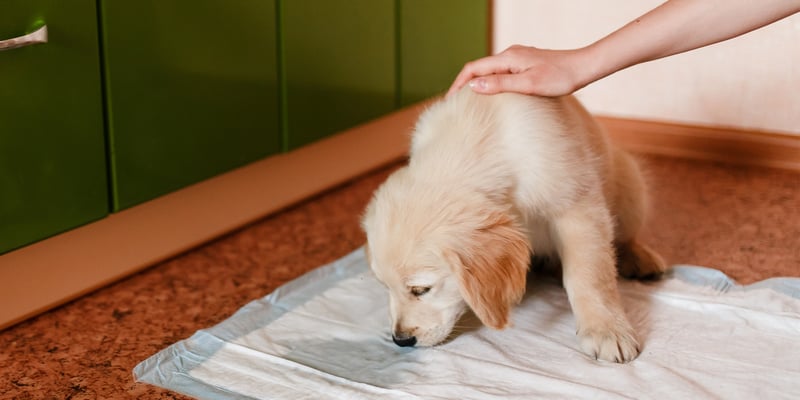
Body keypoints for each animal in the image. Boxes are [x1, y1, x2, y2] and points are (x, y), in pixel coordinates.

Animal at [360, 89, 664, 364]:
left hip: (629, 185)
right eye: (384, 287)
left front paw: (606, 329)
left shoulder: (575, 204)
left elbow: (589, 273)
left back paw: (640, 258)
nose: (401, 340)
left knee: (624, 237)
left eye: (421, 290)